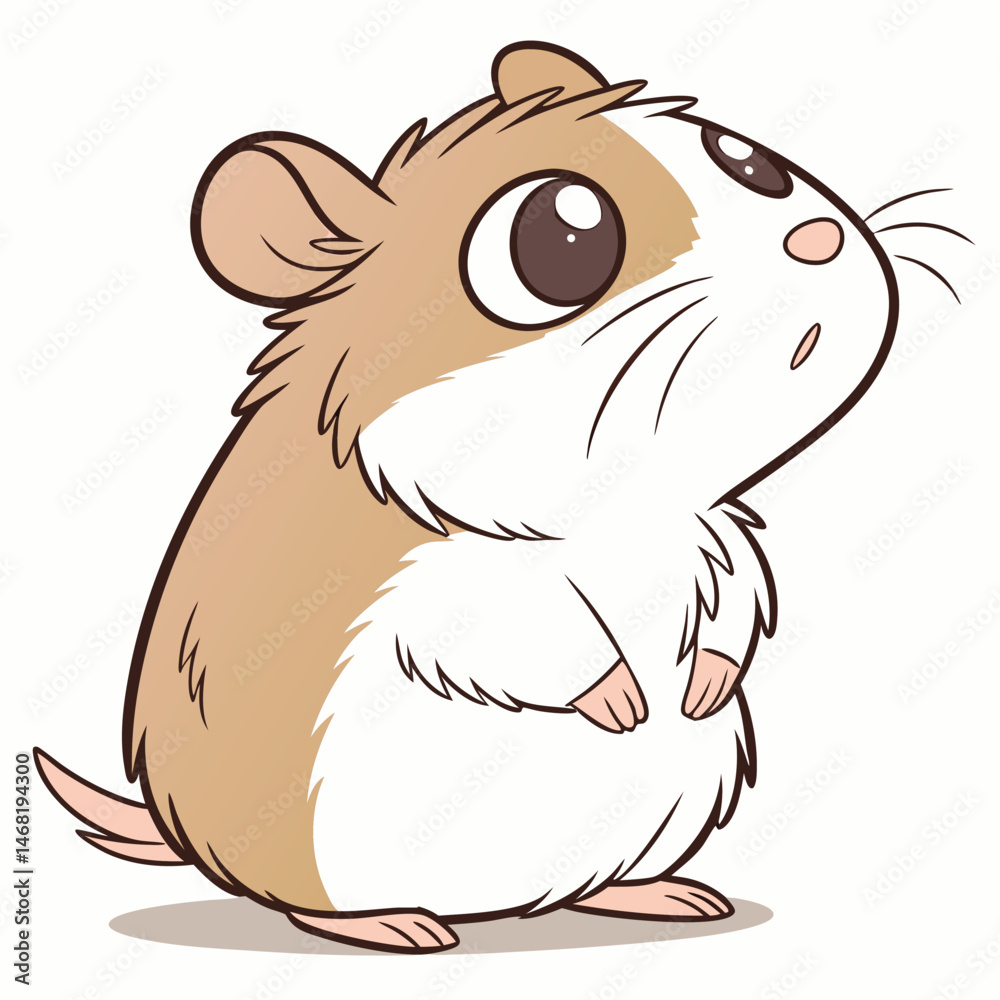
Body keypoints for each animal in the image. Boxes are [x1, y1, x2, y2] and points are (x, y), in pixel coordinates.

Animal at [37, 41, 904, 954]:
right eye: (562, 232)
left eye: (746, 160)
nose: (817, 237)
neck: (614, 507)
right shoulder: (455, 575)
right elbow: (521, 635)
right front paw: (619, 698)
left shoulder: (712, 535)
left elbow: (734, 606)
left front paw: (700, 684)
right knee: (303, 901)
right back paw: (394, 925)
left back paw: (654, 895)